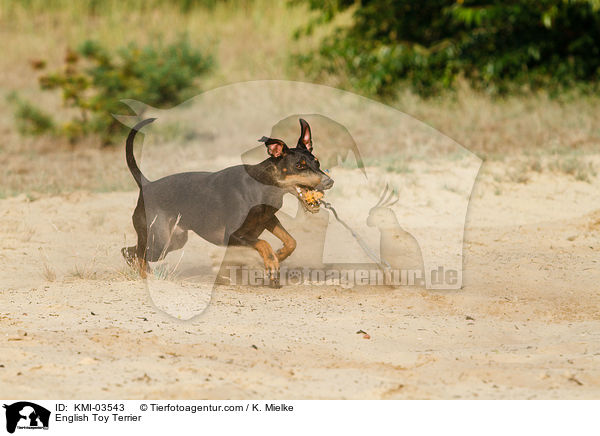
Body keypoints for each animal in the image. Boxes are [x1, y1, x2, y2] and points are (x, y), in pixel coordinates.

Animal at [121, 116, 332, 286]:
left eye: (317, 162)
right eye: (299, 166)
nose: (329, 181)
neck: (261, 185)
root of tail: (147, 184)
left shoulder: (267, 220)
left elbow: (291, 241)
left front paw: (278, 255)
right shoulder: (233, 235)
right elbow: (263, 243)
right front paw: (271, 262)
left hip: (175, 240)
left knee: (131, 251)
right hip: (159, 241)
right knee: (134, 253)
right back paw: (146, 277)